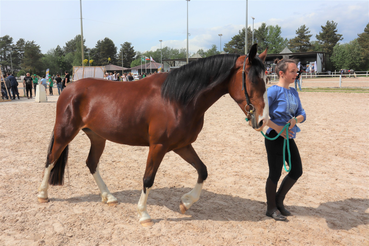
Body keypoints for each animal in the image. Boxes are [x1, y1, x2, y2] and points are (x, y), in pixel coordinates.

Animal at [37, 43, 268, 226]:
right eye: (253, 79)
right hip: (65, 133)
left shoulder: (182, 146)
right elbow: (148, 179)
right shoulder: (158, 146)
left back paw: (108, 196)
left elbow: (202, 170)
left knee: (91, 163)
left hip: (97, 137)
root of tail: (70, 88)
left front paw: (186, 202)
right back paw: (42, 195)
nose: (262, 120)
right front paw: (143, 214)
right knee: (51, 159)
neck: (177, 99)